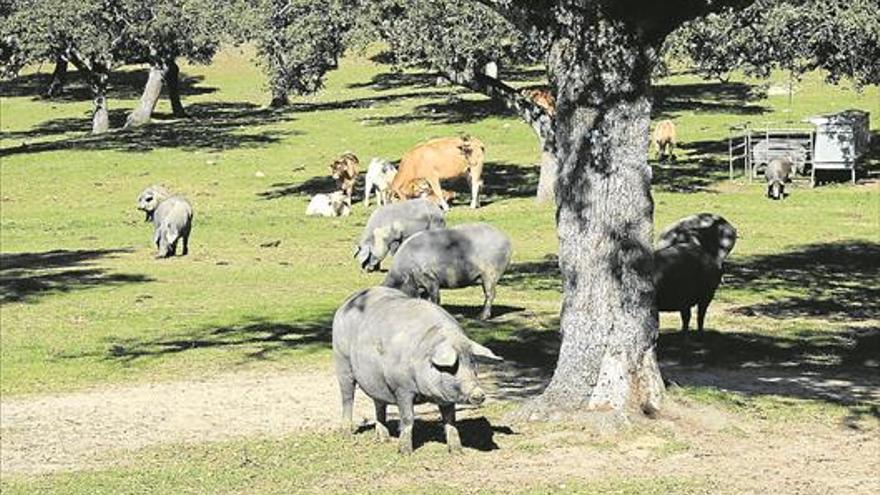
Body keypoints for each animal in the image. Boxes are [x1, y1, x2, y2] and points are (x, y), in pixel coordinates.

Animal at [334, 286, 502, 458]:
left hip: (376, 380)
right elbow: (408, 418)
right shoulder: (401, 388)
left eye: (472, 364)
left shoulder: (445, 397)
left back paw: (383, 439)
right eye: (452, 367)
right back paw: (347, 434)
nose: (479, 394)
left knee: (378, 403)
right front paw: (405, 453)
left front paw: (457, 452)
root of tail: (346, 303)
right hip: (342, 361)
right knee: (347, 398)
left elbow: (450, 420)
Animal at [382, 223, 512, 320]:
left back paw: (481, 317)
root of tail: (506, 240)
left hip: (490, 274)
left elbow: (435, 297)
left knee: (490, 294)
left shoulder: (430, 278)